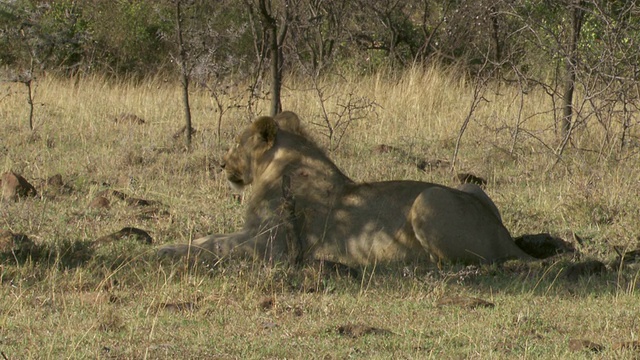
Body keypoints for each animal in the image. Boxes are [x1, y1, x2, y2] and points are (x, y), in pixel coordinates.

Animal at [158, 111, 532, 266]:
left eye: (236, 143)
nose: (222, 165)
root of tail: (504, 237)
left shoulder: (271, 245)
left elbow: (217, 247)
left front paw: (164, 251)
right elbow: (209, 238)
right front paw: (169, 246)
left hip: (429, 198)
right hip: (471, 188)